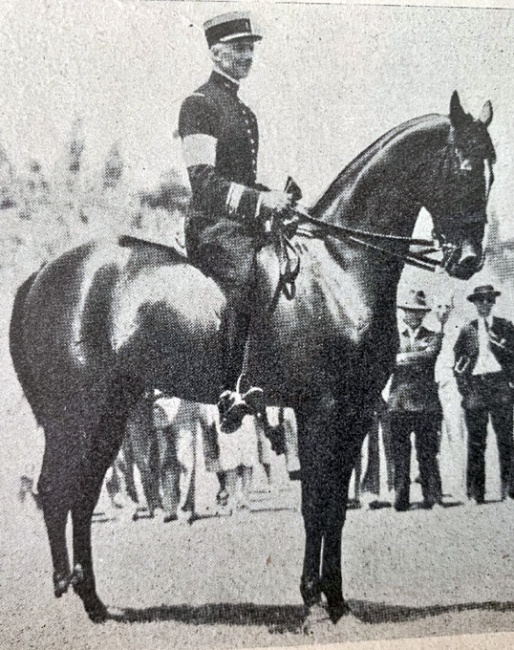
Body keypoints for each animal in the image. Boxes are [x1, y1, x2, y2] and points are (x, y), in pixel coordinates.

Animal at [10, 91, 494, 624]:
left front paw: (337, 600)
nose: (468, 261)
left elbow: (335, 507)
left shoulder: (356, 409)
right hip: (76, 415)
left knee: (82, 493)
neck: (340, 267)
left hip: (110, 415)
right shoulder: (322, 407)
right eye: (465, 167)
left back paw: (95, 601)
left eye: (491, 171)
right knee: (55, 490)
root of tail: (43, 273)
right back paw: (68, 589)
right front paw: (312, 599)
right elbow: (316, 503)